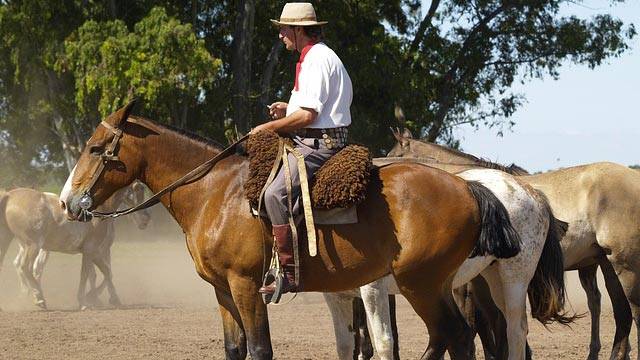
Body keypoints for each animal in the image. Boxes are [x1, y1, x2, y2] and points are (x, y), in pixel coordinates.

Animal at [0, 181, 149, 308]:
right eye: (138, 189)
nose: (146, 219)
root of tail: (9, 195)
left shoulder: (95, 252)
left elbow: (106, 272)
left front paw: (111, 299)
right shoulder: (91, 250)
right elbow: (87, 274)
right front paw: (85, 301)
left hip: (11, 242)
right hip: (33, 245)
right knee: (26, 267)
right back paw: (39, 298)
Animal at [57, 102, 524, 358]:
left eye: (95, 149)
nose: (66, 202)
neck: (216, 193)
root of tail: (469, 186)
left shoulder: (247, 286)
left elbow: (261, 348)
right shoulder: (222, 290)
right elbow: (235, 348)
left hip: (421, 285)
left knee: (458, 337)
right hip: (436, 285)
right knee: (458, 337)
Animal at [322, 169, 568, 360]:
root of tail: (531, 192)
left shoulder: (373, 290)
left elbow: (383, 342)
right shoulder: (338, 297)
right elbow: (345, 345)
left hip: (513, 278)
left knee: (515, 330)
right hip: (491, 279)